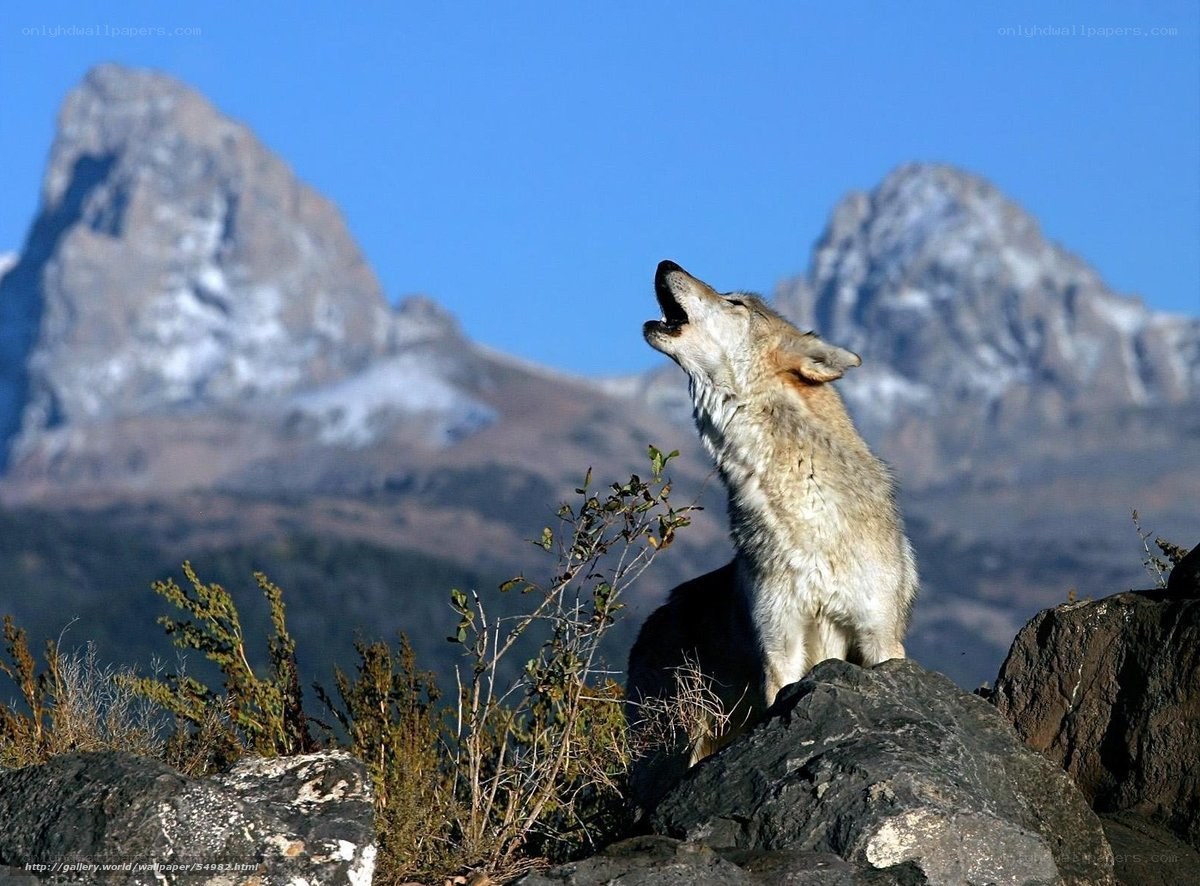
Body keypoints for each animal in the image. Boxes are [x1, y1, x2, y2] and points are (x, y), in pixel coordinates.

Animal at [626, 260, 917, 805]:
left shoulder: (879, 638)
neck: (807, 517)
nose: (665, 264)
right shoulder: (780, 647)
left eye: (735, 302)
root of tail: (650, 623)